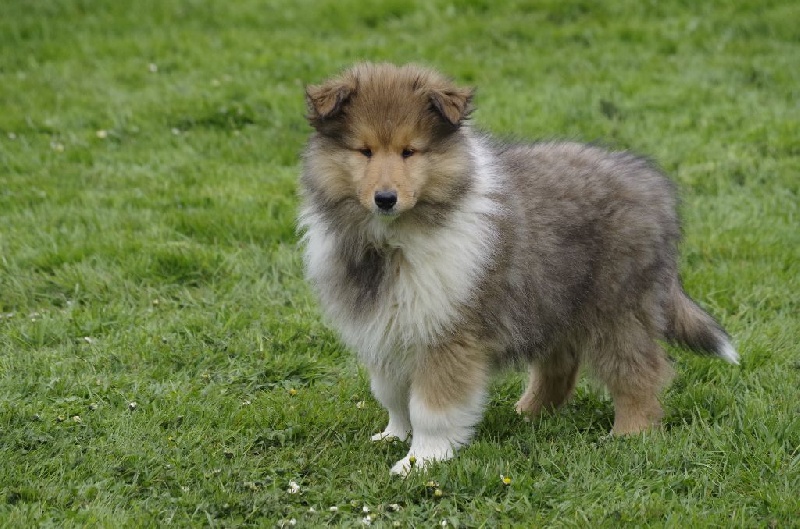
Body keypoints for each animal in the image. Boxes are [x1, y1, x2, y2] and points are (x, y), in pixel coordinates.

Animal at [296, 62, 736, 474]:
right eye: (364, 151)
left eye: (410, 151)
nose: (385, 198)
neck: (394, 241)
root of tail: (651, 183)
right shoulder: (388, 333)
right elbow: (392, 395)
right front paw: (393, 436)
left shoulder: (448, 335)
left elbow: (430, 408)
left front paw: (421, 461)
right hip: (551, 296)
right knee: (560, 366)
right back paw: (527, 413)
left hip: (619, 307)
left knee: (639, 371)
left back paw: (630, 434)